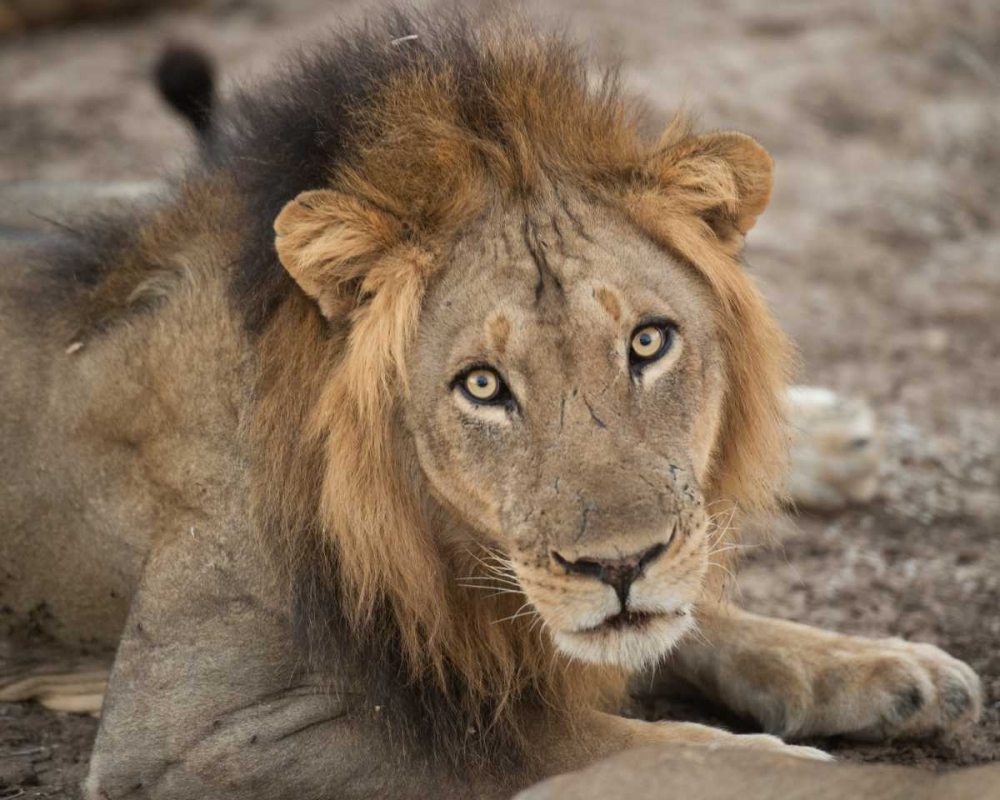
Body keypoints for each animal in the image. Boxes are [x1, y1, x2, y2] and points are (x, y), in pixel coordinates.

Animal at [0, 10, 982, 799]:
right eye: (483, 385)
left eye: (648, 343)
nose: (619, 566)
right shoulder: (187, 733)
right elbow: (575, 743)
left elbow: (699, 615)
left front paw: (887, 667)